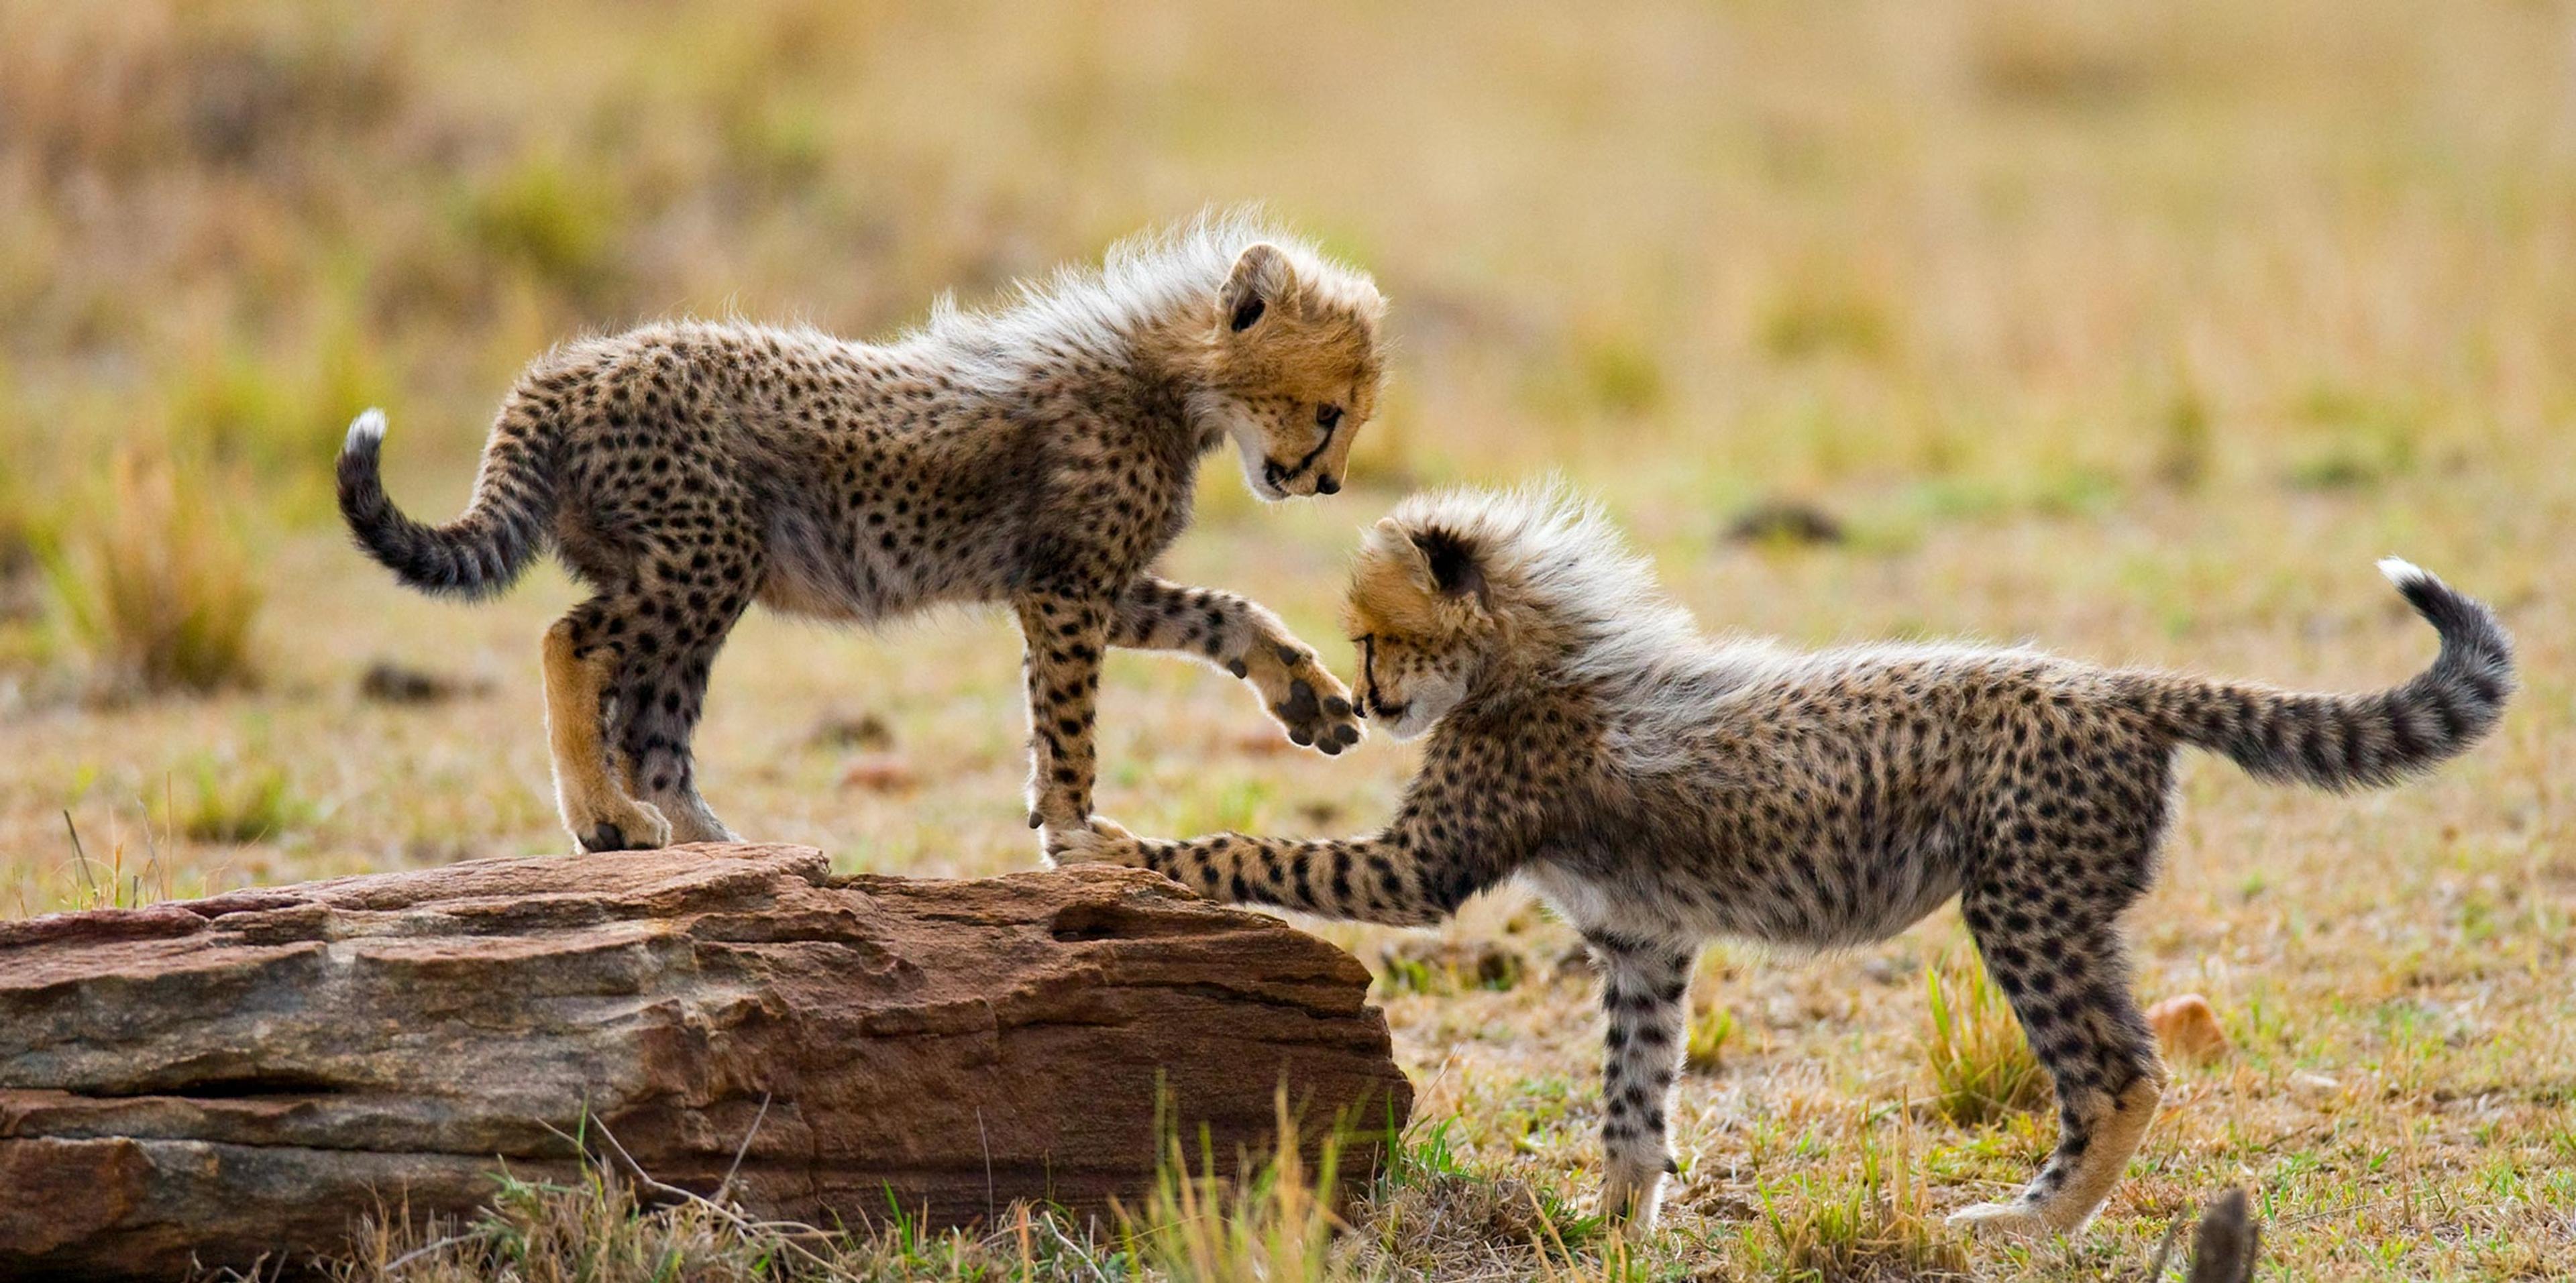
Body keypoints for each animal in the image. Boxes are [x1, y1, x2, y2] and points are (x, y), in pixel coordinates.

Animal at [338, 212, 1382, 854]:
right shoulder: (1065, 587)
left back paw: (719, 846)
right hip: (708, 556)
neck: (1170, 376)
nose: (1328, 482)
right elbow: (1070, 725)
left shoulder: (1090, 583)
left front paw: (1306, 693)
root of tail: (565, 367)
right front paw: (1077, 831)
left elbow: (1227, 612)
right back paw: (609, 820)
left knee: (651, 724)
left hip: (699, 574)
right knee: (575, 641)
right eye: (1330, 411)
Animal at [1049, 484, 2514, 1235]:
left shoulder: (1420, 868)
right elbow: (1634, 1098)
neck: (1531, 656)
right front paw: (1610, 1225)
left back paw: (2028, 1222)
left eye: (1373, 633)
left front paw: (1115, 839)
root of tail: (2109, 681)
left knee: (2121, 1068)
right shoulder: (1646, 943)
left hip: (2024, 905)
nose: (1368, 696)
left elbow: (1258, 848)